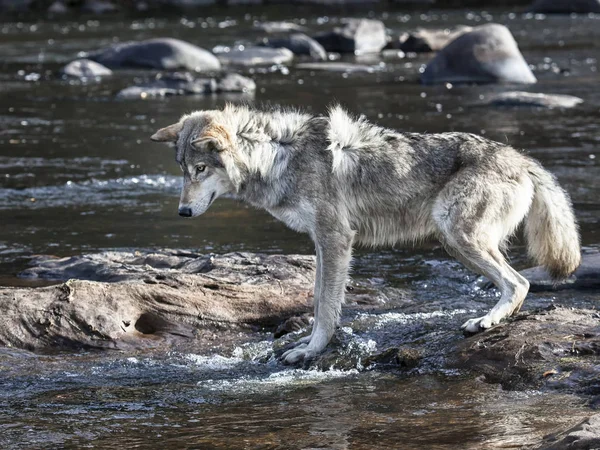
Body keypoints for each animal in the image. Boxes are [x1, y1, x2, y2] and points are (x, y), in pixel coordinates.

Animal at [151, 103, 580, 364]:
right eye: (183, 170)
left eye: (201, 169)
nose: (183, 212)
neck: (276, 155)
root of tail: (522, 158)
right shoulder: (321, 244)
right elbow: (319, 299)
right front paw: (307, 343)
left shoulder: (336, 238)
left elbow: (326, 307)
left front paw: (310, 351)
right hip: (455, 240)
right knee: (518, 282)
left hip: (456, 234)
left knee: (519, 282)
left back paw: (487, 321)